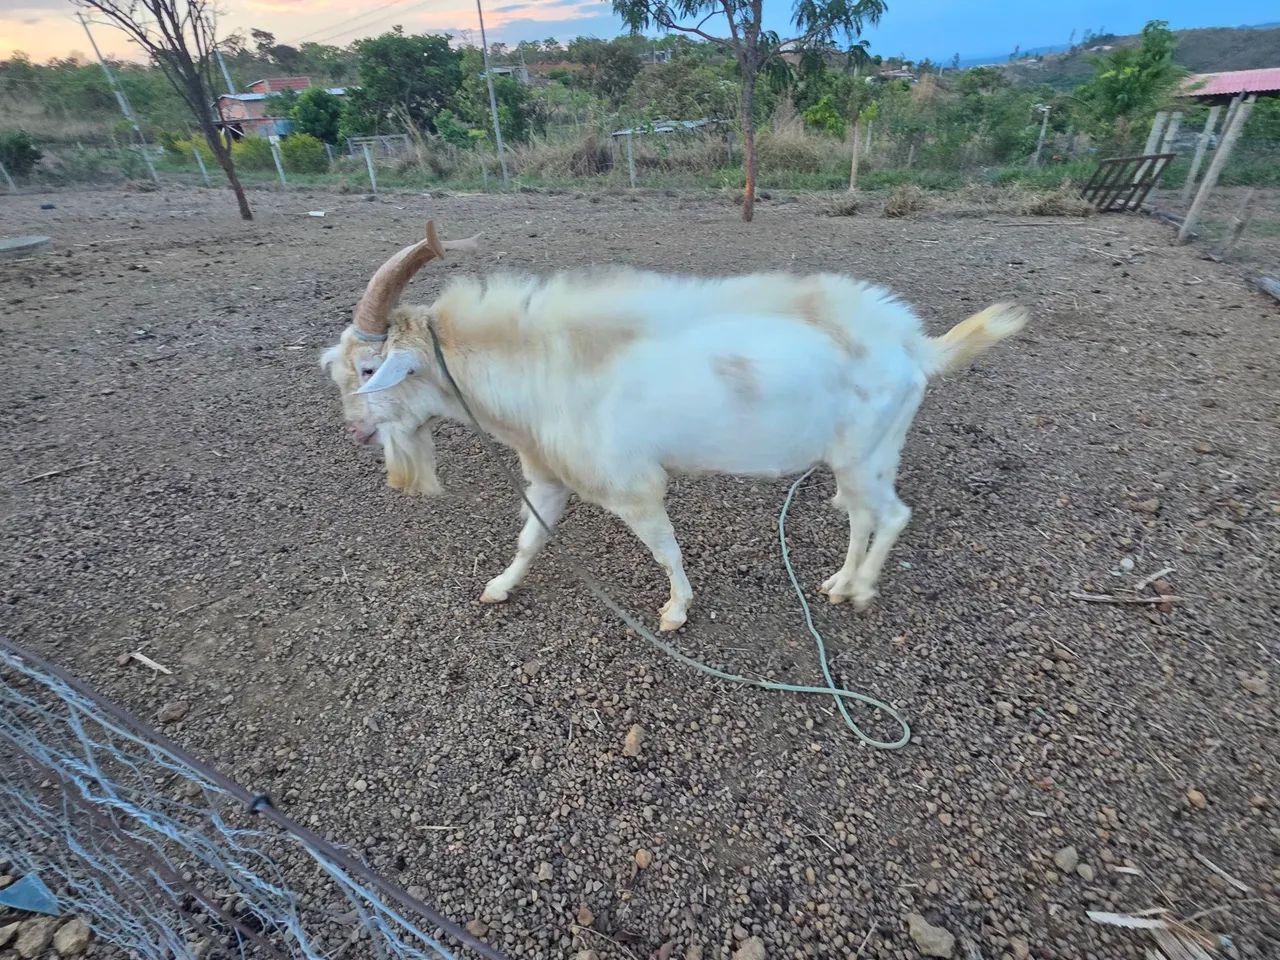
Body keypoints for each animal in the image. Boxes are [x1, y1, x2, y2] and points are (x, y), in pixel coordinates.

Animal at [322, 222, 1027, 631]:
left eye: (370, 368)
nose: (354, 432)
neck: (547, 363)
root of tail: (914, 346)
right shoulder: (548, 474)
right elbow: (530, 537)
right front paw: (498, 587)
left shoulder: (632, 484)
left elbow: (666, 548)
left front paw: (675, 611)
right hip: (864, 455)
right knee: (861, 515)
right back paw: (836, 583)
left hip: (864, 451)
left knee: (893, 514)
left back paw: (859, 593)